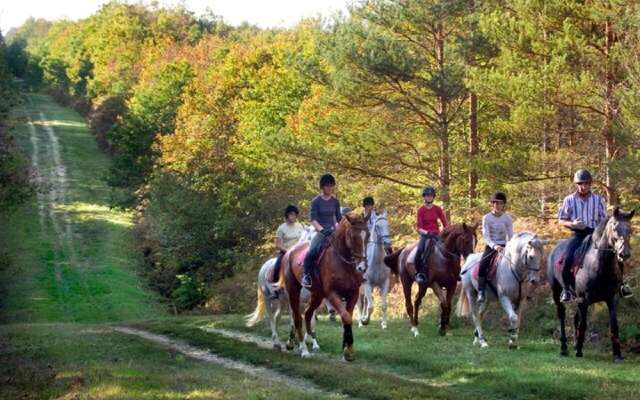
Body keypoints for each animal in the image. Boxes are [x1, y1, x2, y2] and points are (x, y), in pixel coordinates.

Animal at [276, 214, 370, 360]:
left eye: (368, 235)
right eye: (353, 236)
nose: (362, 267)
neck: (343, 262)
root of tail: (289, 252)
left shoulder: (353, 293)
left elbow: (347, 318)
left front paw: (347, 348)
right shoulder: (332, 294)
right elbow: (346, 317)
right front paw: (348, 351)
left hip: (317, 295)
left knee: (307, 314)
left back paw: (311, 340)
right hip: (293, 291)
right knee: (297, 318)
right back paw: (303, 349)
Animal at [544, 206, 636, 362]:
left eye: (629, 229)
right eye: (614, 227)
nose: (624, 254)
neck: (600, 266)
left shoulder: (612, 299)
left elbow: (614, 325)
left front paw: (617, 355)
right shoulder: (584, 300)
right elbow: (583, 324)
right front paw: (579, 352)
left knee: (575, 319)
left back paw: (575, 345)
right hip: (557, 292)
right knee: (562, 316)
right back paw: (564, 348)